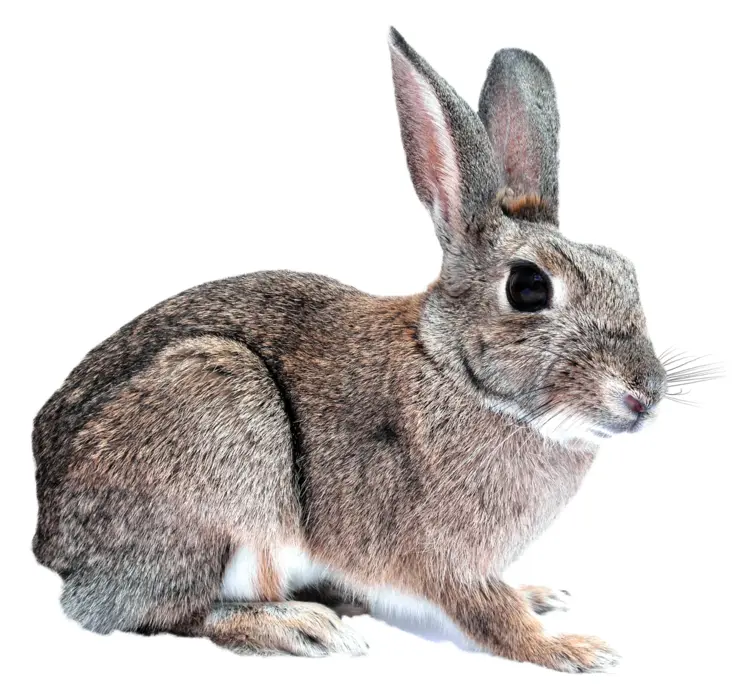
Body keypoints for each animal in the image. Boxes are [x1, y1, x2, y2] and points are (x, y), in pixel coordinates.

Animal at [32, 27, 667, 672]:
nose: (645, 395)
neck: (456, 374)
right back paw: (301, 627)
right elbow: (491, 615)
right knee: (165, 613)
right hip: (218, 428)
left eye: (626, 270)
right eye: (528, 287)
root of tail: (48, 540)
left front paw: (541, 597)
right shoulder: (444, 558)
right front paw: (572, 648)